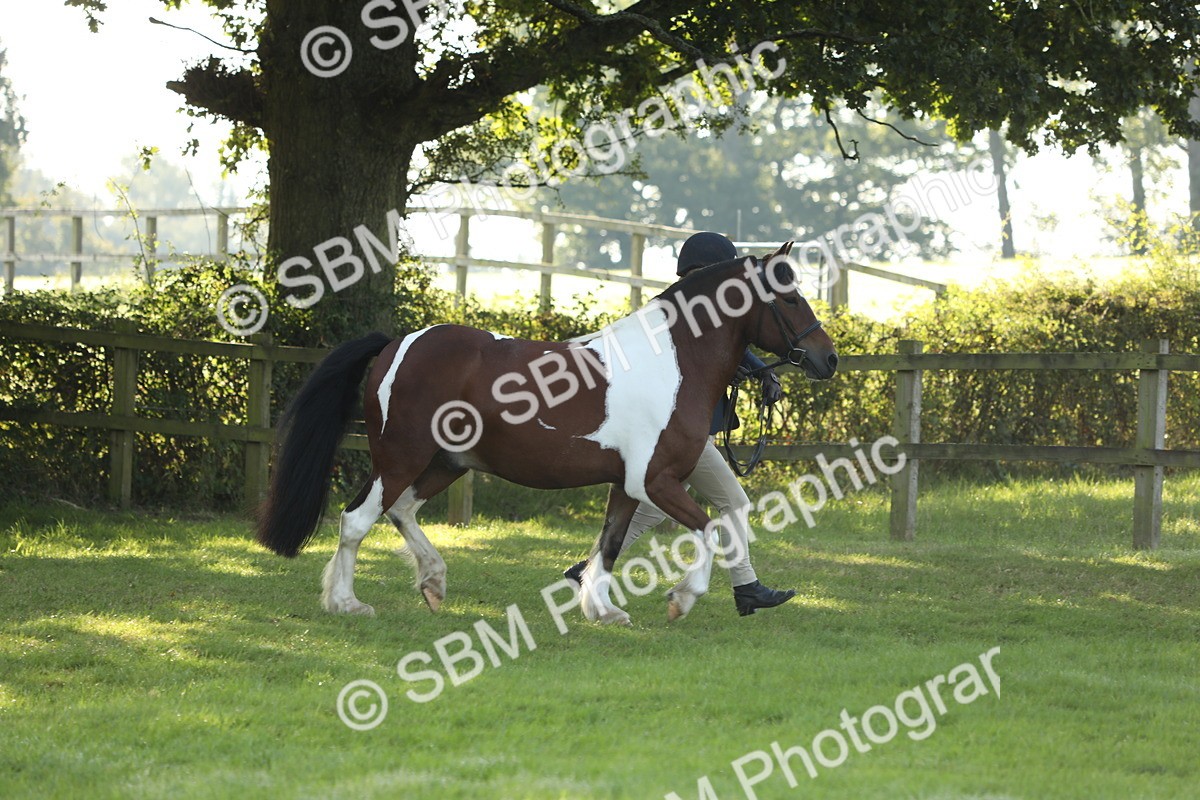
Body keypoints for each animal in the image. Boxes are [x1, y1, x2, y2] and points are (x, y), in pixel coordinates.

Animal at [256, 243, 838, 625]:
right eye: (788, 297)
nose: (827, 359)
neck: (673, 362)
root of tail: (396, 344)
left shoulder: (627, 485)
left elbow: (610, 545)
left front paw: (602, 609)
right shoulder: (655, 482)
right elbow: (709, 529)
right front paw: (681, 598)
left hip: (446, 463)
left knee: (400, 512)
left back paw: (433, 583)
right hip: (400, 459)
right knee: (356, 520)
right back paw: (347, 603)